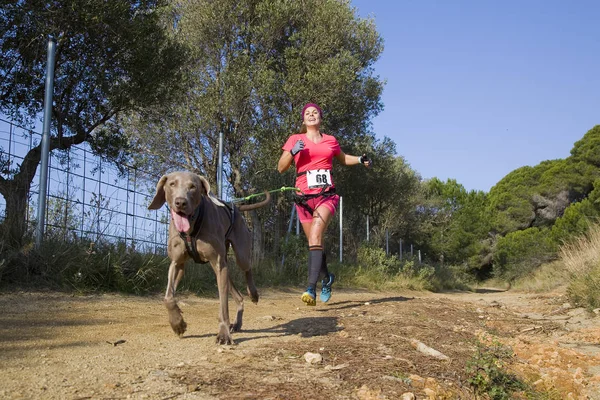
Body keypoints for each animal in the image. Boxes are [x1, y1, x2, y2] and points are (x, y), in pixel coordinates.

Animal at [149, 171, 270, 344]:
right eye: (172, 184)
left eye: (193, 186)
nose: (180, 202)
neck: (191, 228)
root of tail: (236, 207)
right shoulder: (177, 263)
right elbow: (168, 297)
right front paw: (177, 324)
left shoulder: (218, 262)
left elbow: (223, 304)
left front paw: (224, 334)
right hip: (223, 264)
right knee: (238, 296)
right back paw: (237, 323)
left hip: (240, 253)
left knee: (247, 268)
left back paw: (253, 293)